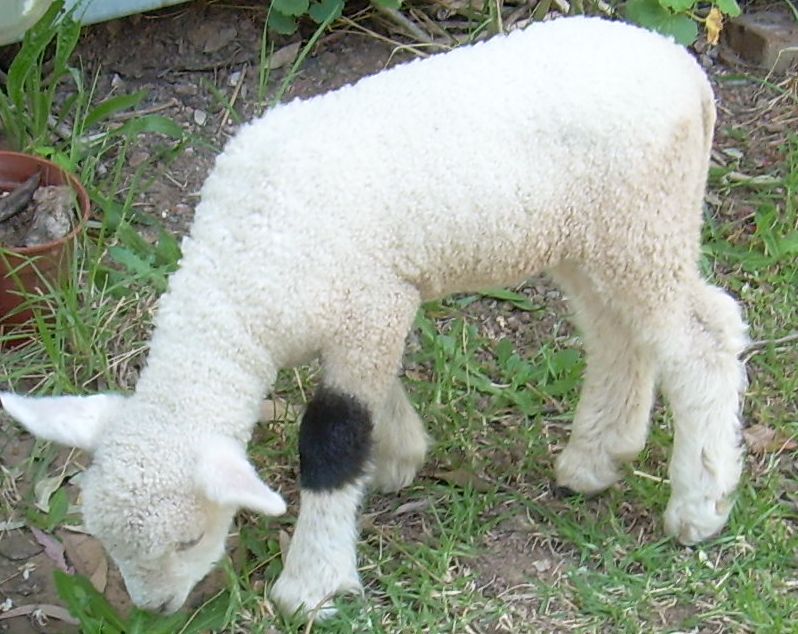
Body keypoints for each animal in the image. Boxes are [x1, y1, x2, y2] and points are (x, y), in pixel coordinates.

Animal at [0, 16, 748, 619]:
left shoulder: (368, 303)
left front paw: (313, 582)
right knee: (621, 333)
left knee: (703, 335)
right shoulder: (364, 306)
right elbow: (371, 402)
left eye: (189, 537)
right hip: (594, 237)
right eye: (103, 538)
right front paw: (398, 457)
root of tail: (685, 70)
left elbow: (331, 436)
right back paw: (597, 457)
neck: (237, 275)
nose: (155, 608)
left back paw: (699, 505)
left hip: (645, 216)